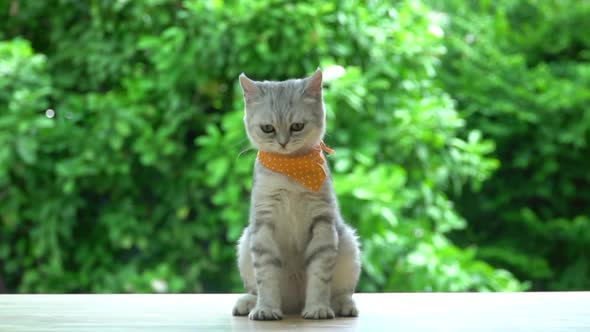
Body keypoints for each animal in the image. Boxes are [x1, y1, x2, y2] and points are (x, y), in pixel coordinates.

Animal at [234, 69, 364, 320]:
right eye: (268, 128)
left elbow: (319, 276)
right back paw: (248, 303)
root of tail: (293, 303)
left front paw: (317, 308)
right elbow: (266, 277)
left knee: (342, 292)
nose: (283, 143)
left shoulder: (323, 223)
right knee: (255, 289)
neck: (291, 170)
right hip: (246, 243)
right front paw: (266, 309)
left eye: (297, 126)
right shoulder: (263, 225)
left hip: (349, 245)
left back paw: (343, 305)